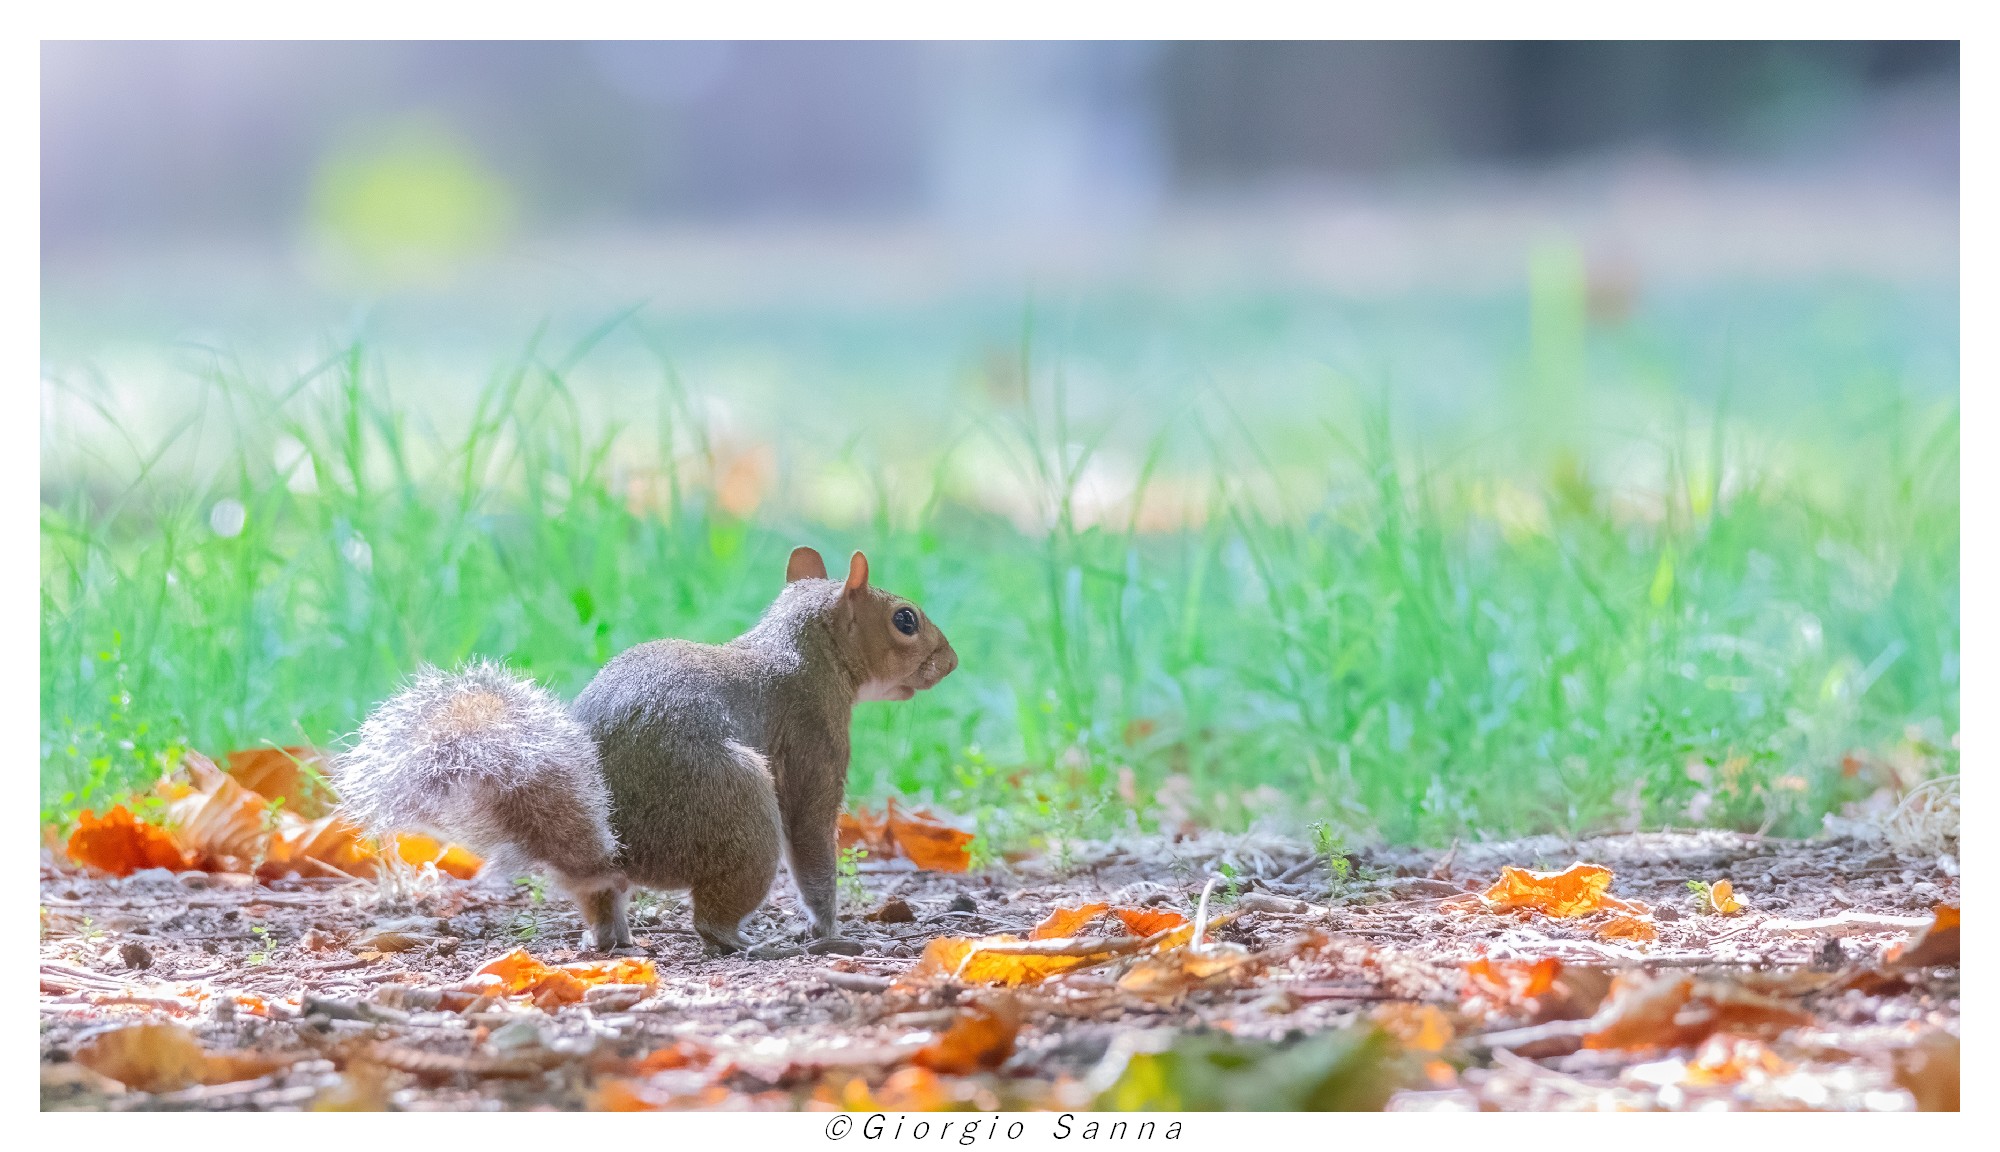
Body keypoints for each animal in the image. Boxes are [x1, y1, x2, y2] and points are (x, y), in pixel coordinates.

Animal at [332, 547, 957, 954]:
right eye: (905, 620)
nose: (950, 662)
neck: (803, 652)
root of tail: (612, 848)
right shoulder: (813, 745)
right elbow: (812, 845)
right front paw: (827, 927)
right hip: (741, 810)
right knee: (712, 921)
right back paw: (753, 943)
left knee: (602, 905)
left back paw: (616, 940)